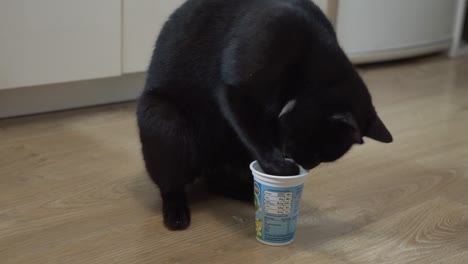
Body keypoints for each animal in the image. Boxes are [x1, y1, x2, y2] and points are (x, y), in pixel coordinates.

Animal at [136, 0, 392, 231]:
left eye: (320, 158)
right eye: (316, 152)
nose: (305, 165)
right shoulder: (237, 91)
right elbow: (254, 133)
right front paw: (278, 166)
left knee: (217, 183)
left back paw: (248, 194)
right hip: (167, 123)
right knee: (171, 184)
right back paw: (177, 213)